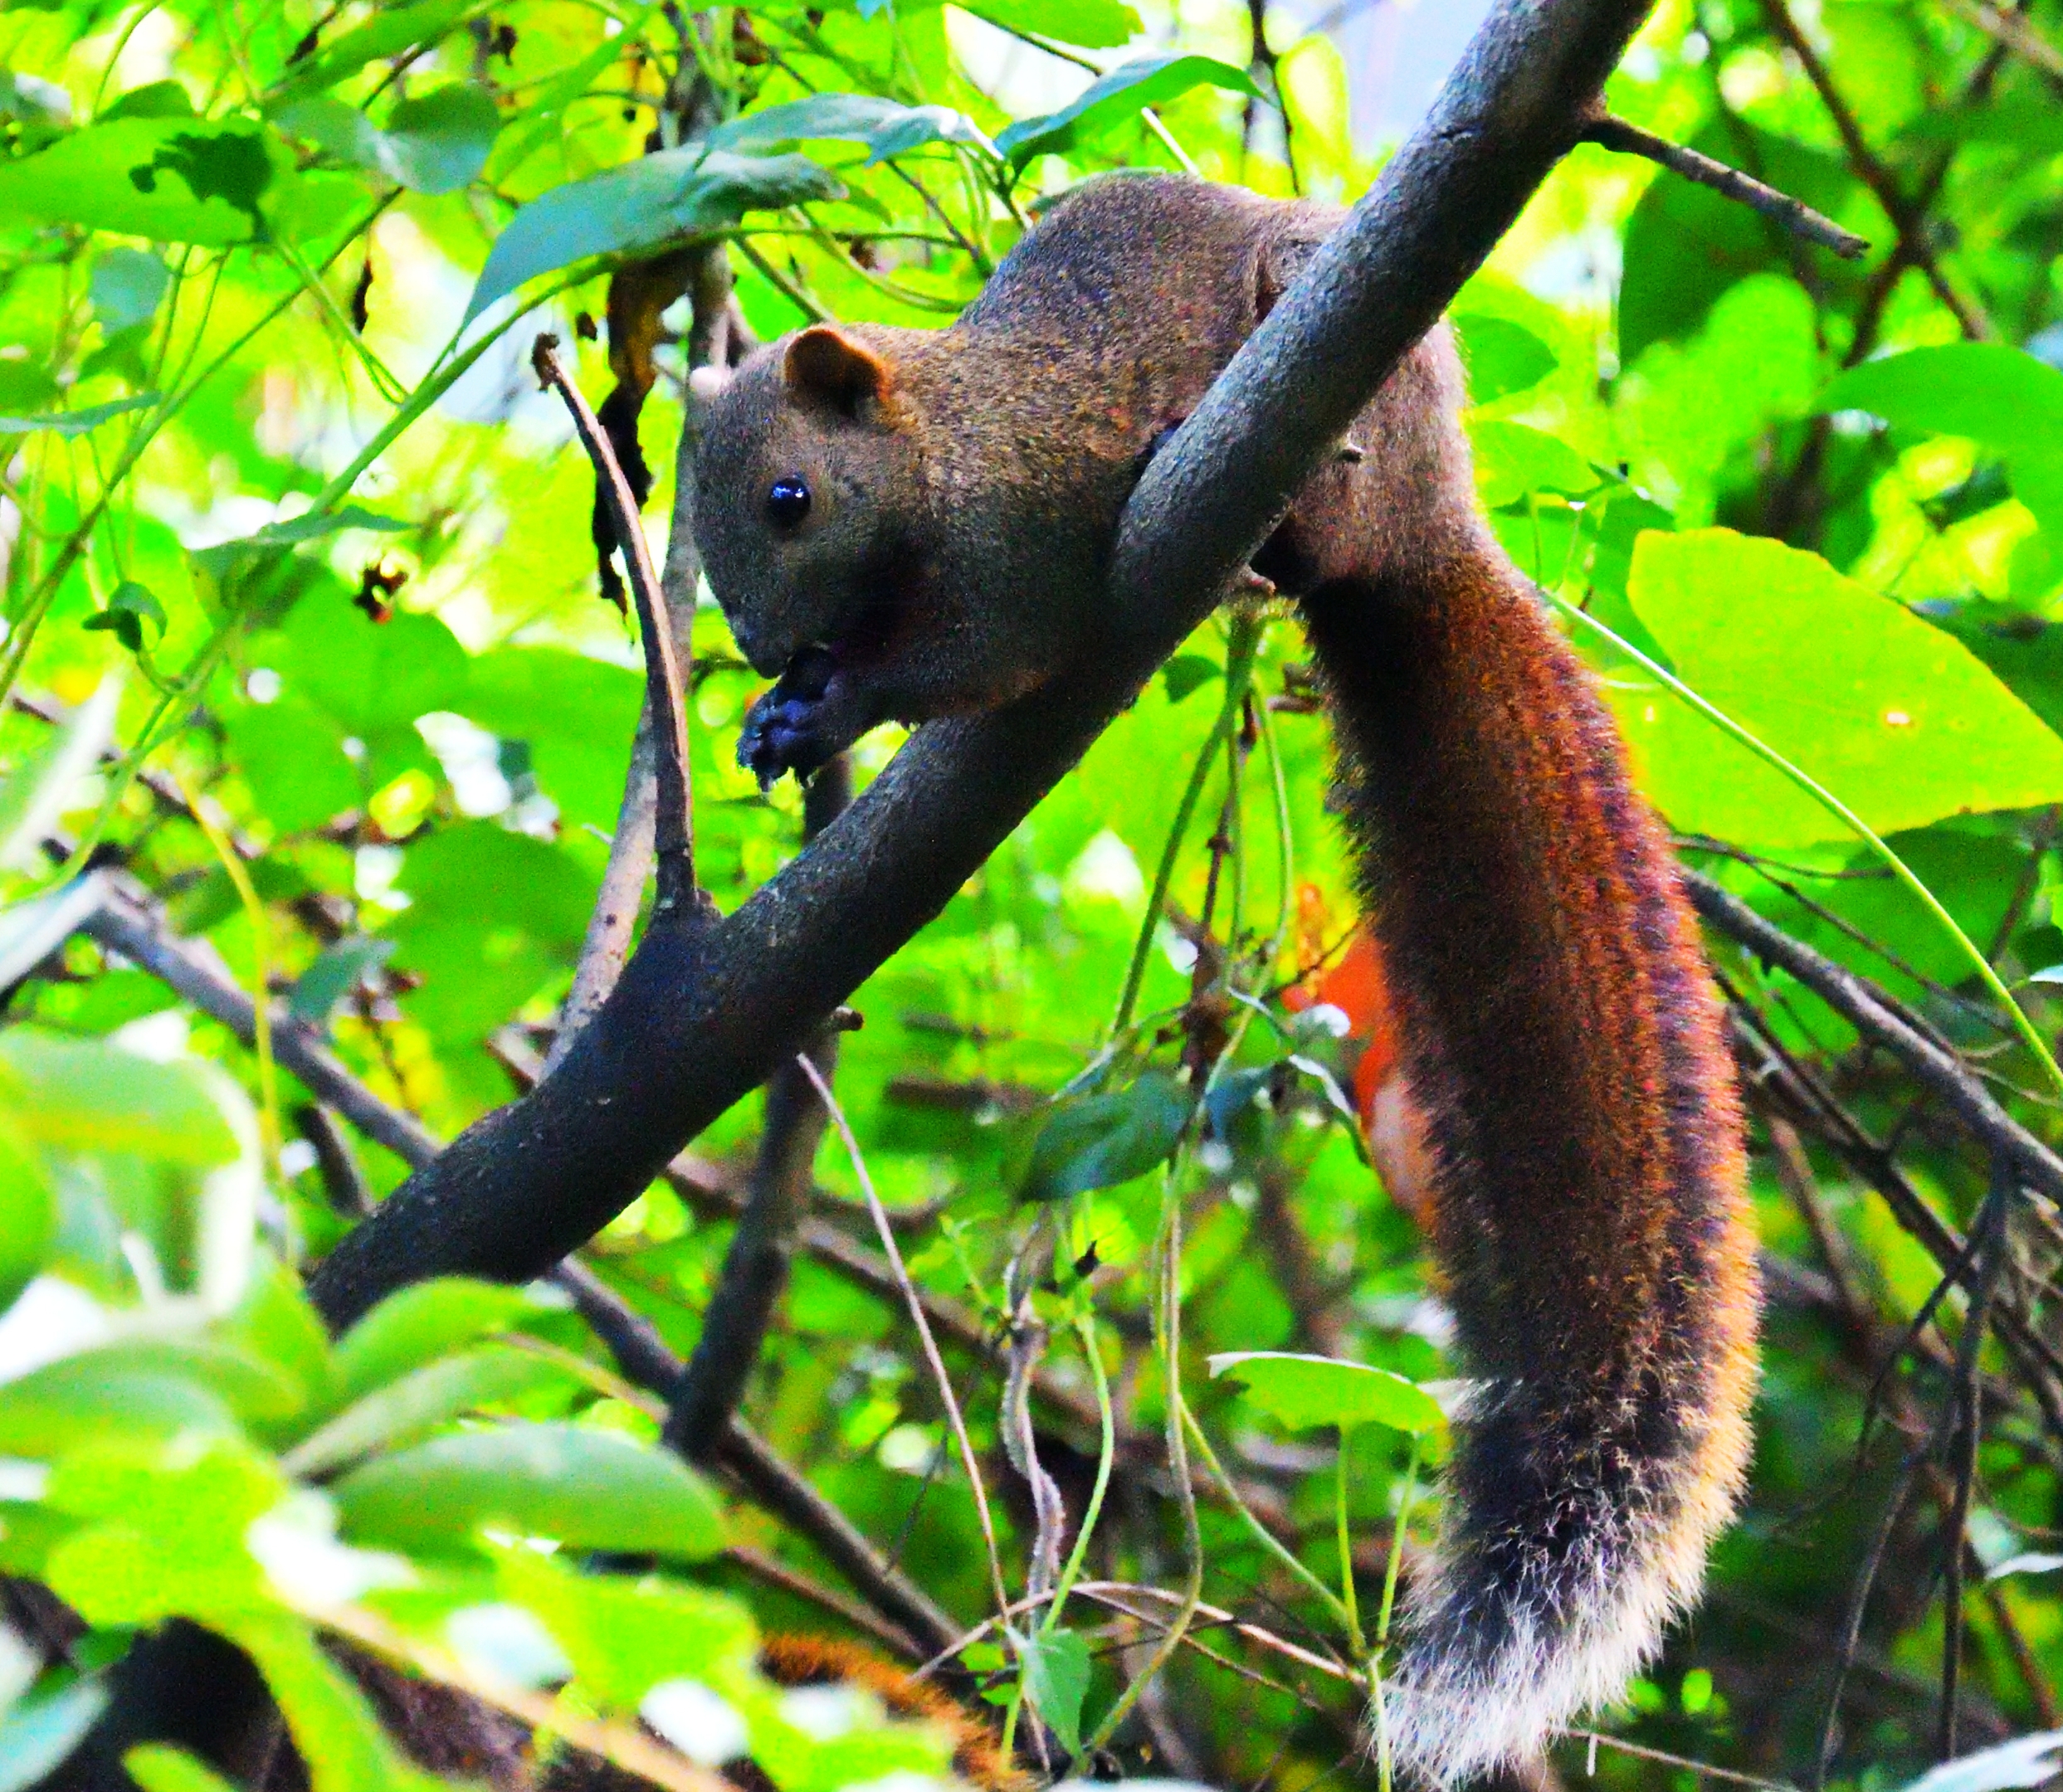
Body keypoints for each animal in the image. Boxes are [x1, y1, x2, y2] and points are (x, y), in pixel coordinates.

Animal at [693, 175, 1758, 1781]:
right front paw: (780, 712)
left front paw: (832, 706)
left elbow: (988, 654)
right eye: (697, 533)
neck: (941, 439)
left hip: (1348, 403)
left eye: (788, 500)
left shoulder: (1020, 535)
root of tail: (1434, 528)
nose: (758, 641)